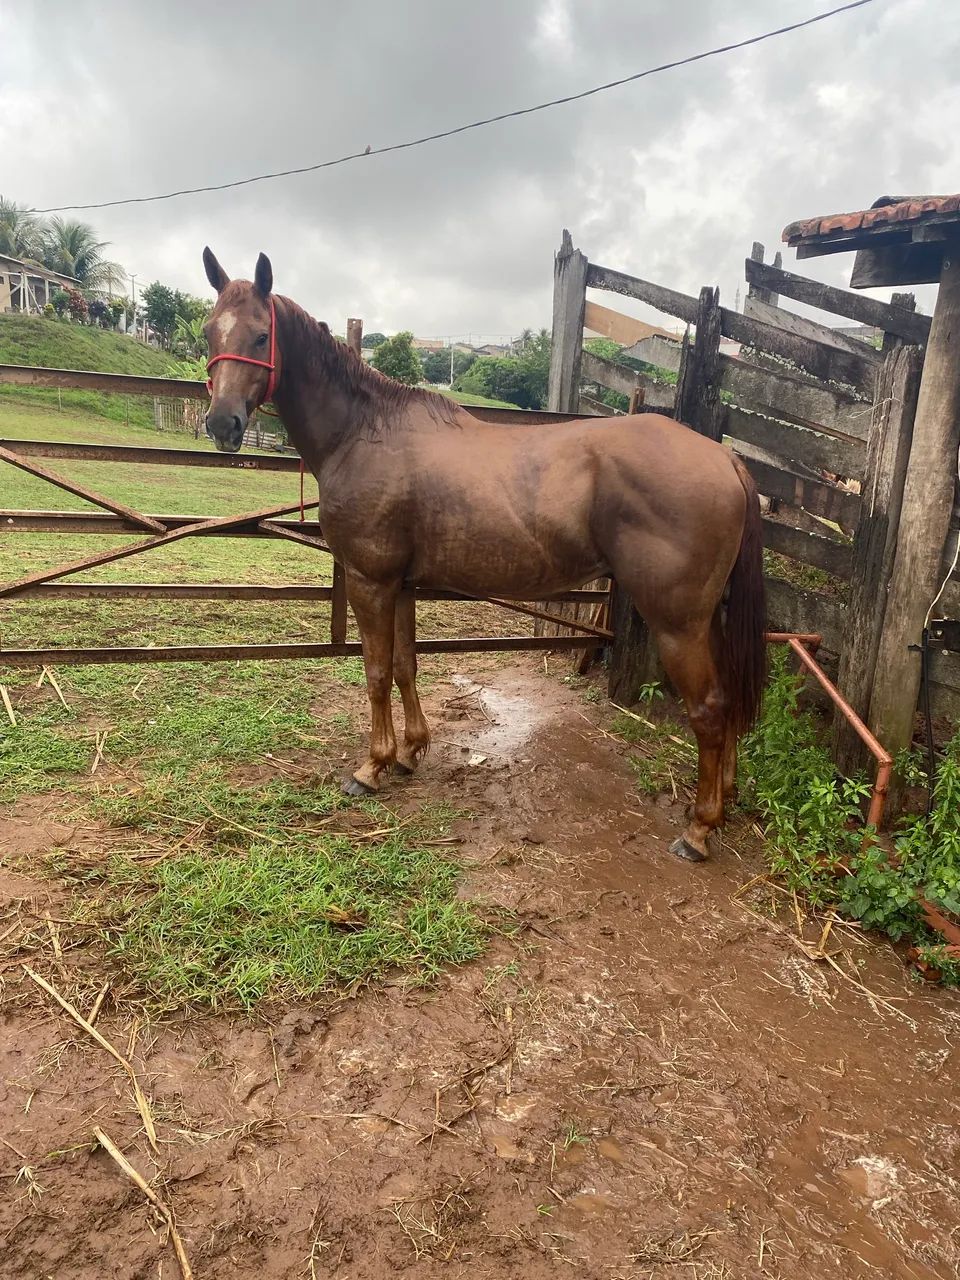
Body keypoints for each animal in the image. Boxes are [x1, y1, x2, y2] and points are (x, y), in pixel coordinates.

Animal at [202, 249, 766, 863]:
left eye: (261, 335)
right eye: (209, 331)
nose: (222, 423)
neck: (364, 433)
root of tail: (724, 458)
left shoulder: (370, 580)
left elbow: (376, 671)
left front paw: (372, 766)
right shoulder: (401, 584)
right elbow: (405, 665)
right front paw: (410, 752)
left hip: (678, 624)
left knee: (709, 709)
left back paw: (699, 828)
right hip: (710, 618)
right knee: (730, 700)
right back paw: (725, 800)